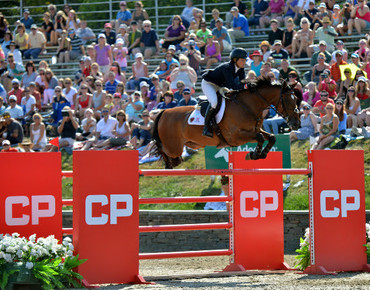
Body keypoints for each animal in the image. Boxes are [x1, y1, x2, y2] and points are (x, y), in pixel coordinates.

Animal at [153, 78, 300, 169]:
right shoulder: (235, 137)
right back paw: (167, 164)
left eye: (297, 98)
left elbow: (271, 137)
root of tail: (164, 112)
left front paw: (260, 154)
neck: (248, 106)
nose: (296, 124)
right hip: (173, 147)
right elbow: (260, 138)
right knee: (162, 149)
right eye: (288, 100)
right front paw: (253, 154)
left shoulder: (253, 131)